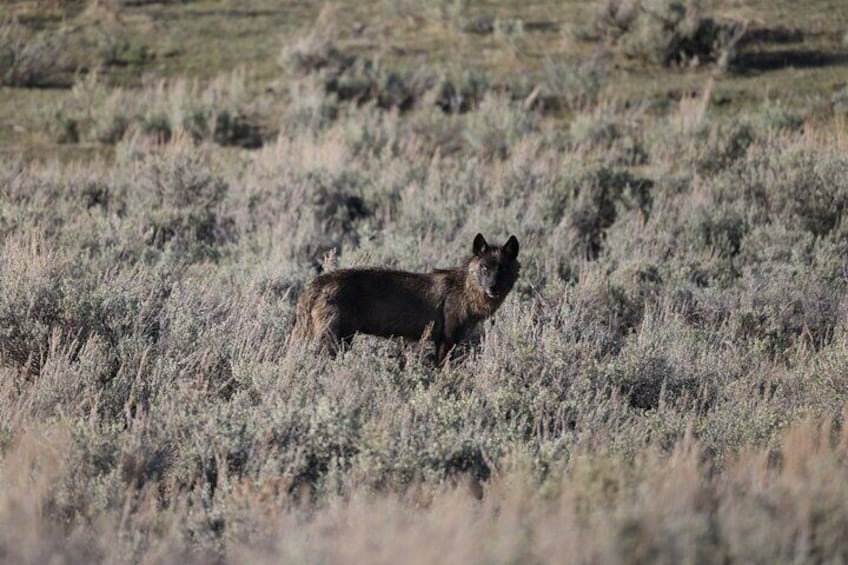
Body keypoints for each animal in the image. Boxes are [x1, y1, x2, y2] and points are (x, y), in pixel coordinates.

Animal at [294, 232, 520, 362]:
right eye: (484, 268)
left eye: (503, 269)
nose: (492, 288)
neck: (466, 290)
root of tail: (315, 284)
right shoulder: (446, 341)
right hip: (334, 341)